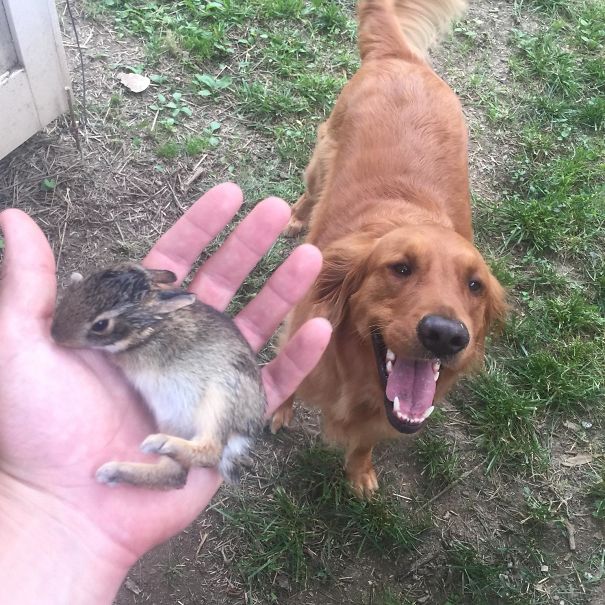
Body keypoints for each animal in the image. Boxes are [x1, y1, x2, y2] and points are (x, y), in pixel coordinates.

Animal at [50, 262, 268, 488]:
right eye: (89, 280)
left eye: (101, 325)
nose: (55, 334)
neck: (149, 328)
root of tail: (245, 433)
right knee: (175, 475)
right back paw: (112, 472)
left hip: (221, 400)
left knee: (210, 452)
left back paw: (158, 443)